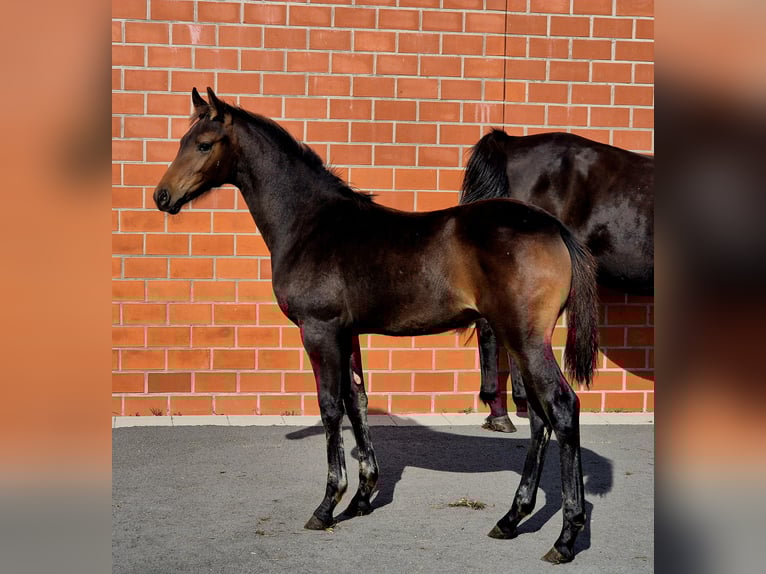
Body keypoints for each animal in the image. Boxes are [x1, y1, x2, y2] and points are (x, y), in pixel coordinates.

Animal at [153, 88, 600, 564]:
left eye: (204, 144)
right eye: (183, 140)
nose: (162, 196)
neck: (312, 224)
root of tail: (552, 227)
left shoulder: (319, 330)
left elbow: (331, 408)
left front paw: (328, 505)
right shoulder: (347, 333)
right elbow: (358, 402)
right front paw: (363, 496)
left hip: (525, 338)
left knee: (561, 408)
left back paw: (565, 538)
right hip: (519, 340)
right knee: (537, 416)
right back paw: (511, 519)